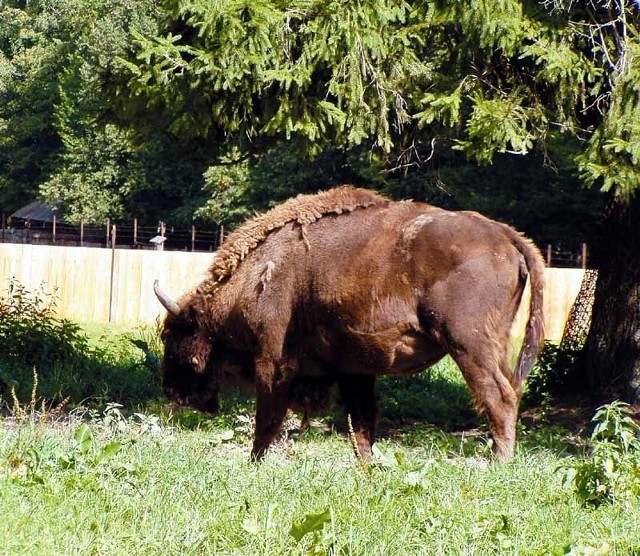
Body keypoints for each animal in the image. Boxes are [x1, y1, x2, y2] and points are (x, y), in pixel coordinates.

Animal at [155, 187, 544, 460]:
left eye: (172, 337)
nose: (171, 391)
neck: (258, 275)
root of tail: (504, 234)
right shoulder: (354, 370)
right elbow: (362, 427)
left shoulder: (271, 361)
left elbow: (266, 421)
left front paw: (254, 464)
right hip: (496, 344)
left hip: (468, 345)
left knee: (499, 397)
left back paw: (498, 462)